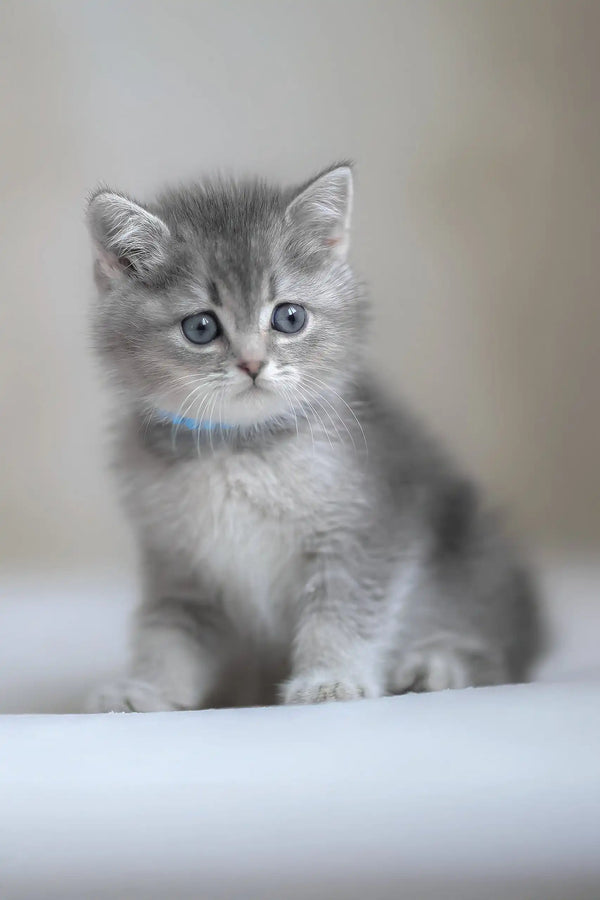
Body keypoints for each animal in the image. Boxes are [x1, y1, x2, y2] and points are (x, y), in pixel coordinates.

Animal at [84, 162, 540, 712]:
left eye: (289, 317)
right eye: (200, 327)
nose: (252, 363)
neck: (240, 449)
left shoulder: (367, 526)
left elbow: (344, 609)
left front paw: (331, 678)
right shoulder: (179, 565)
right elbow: (168, 632)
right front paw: (146, 689)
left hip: (469, 554)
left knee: (497, 653)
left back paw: (435, 666)